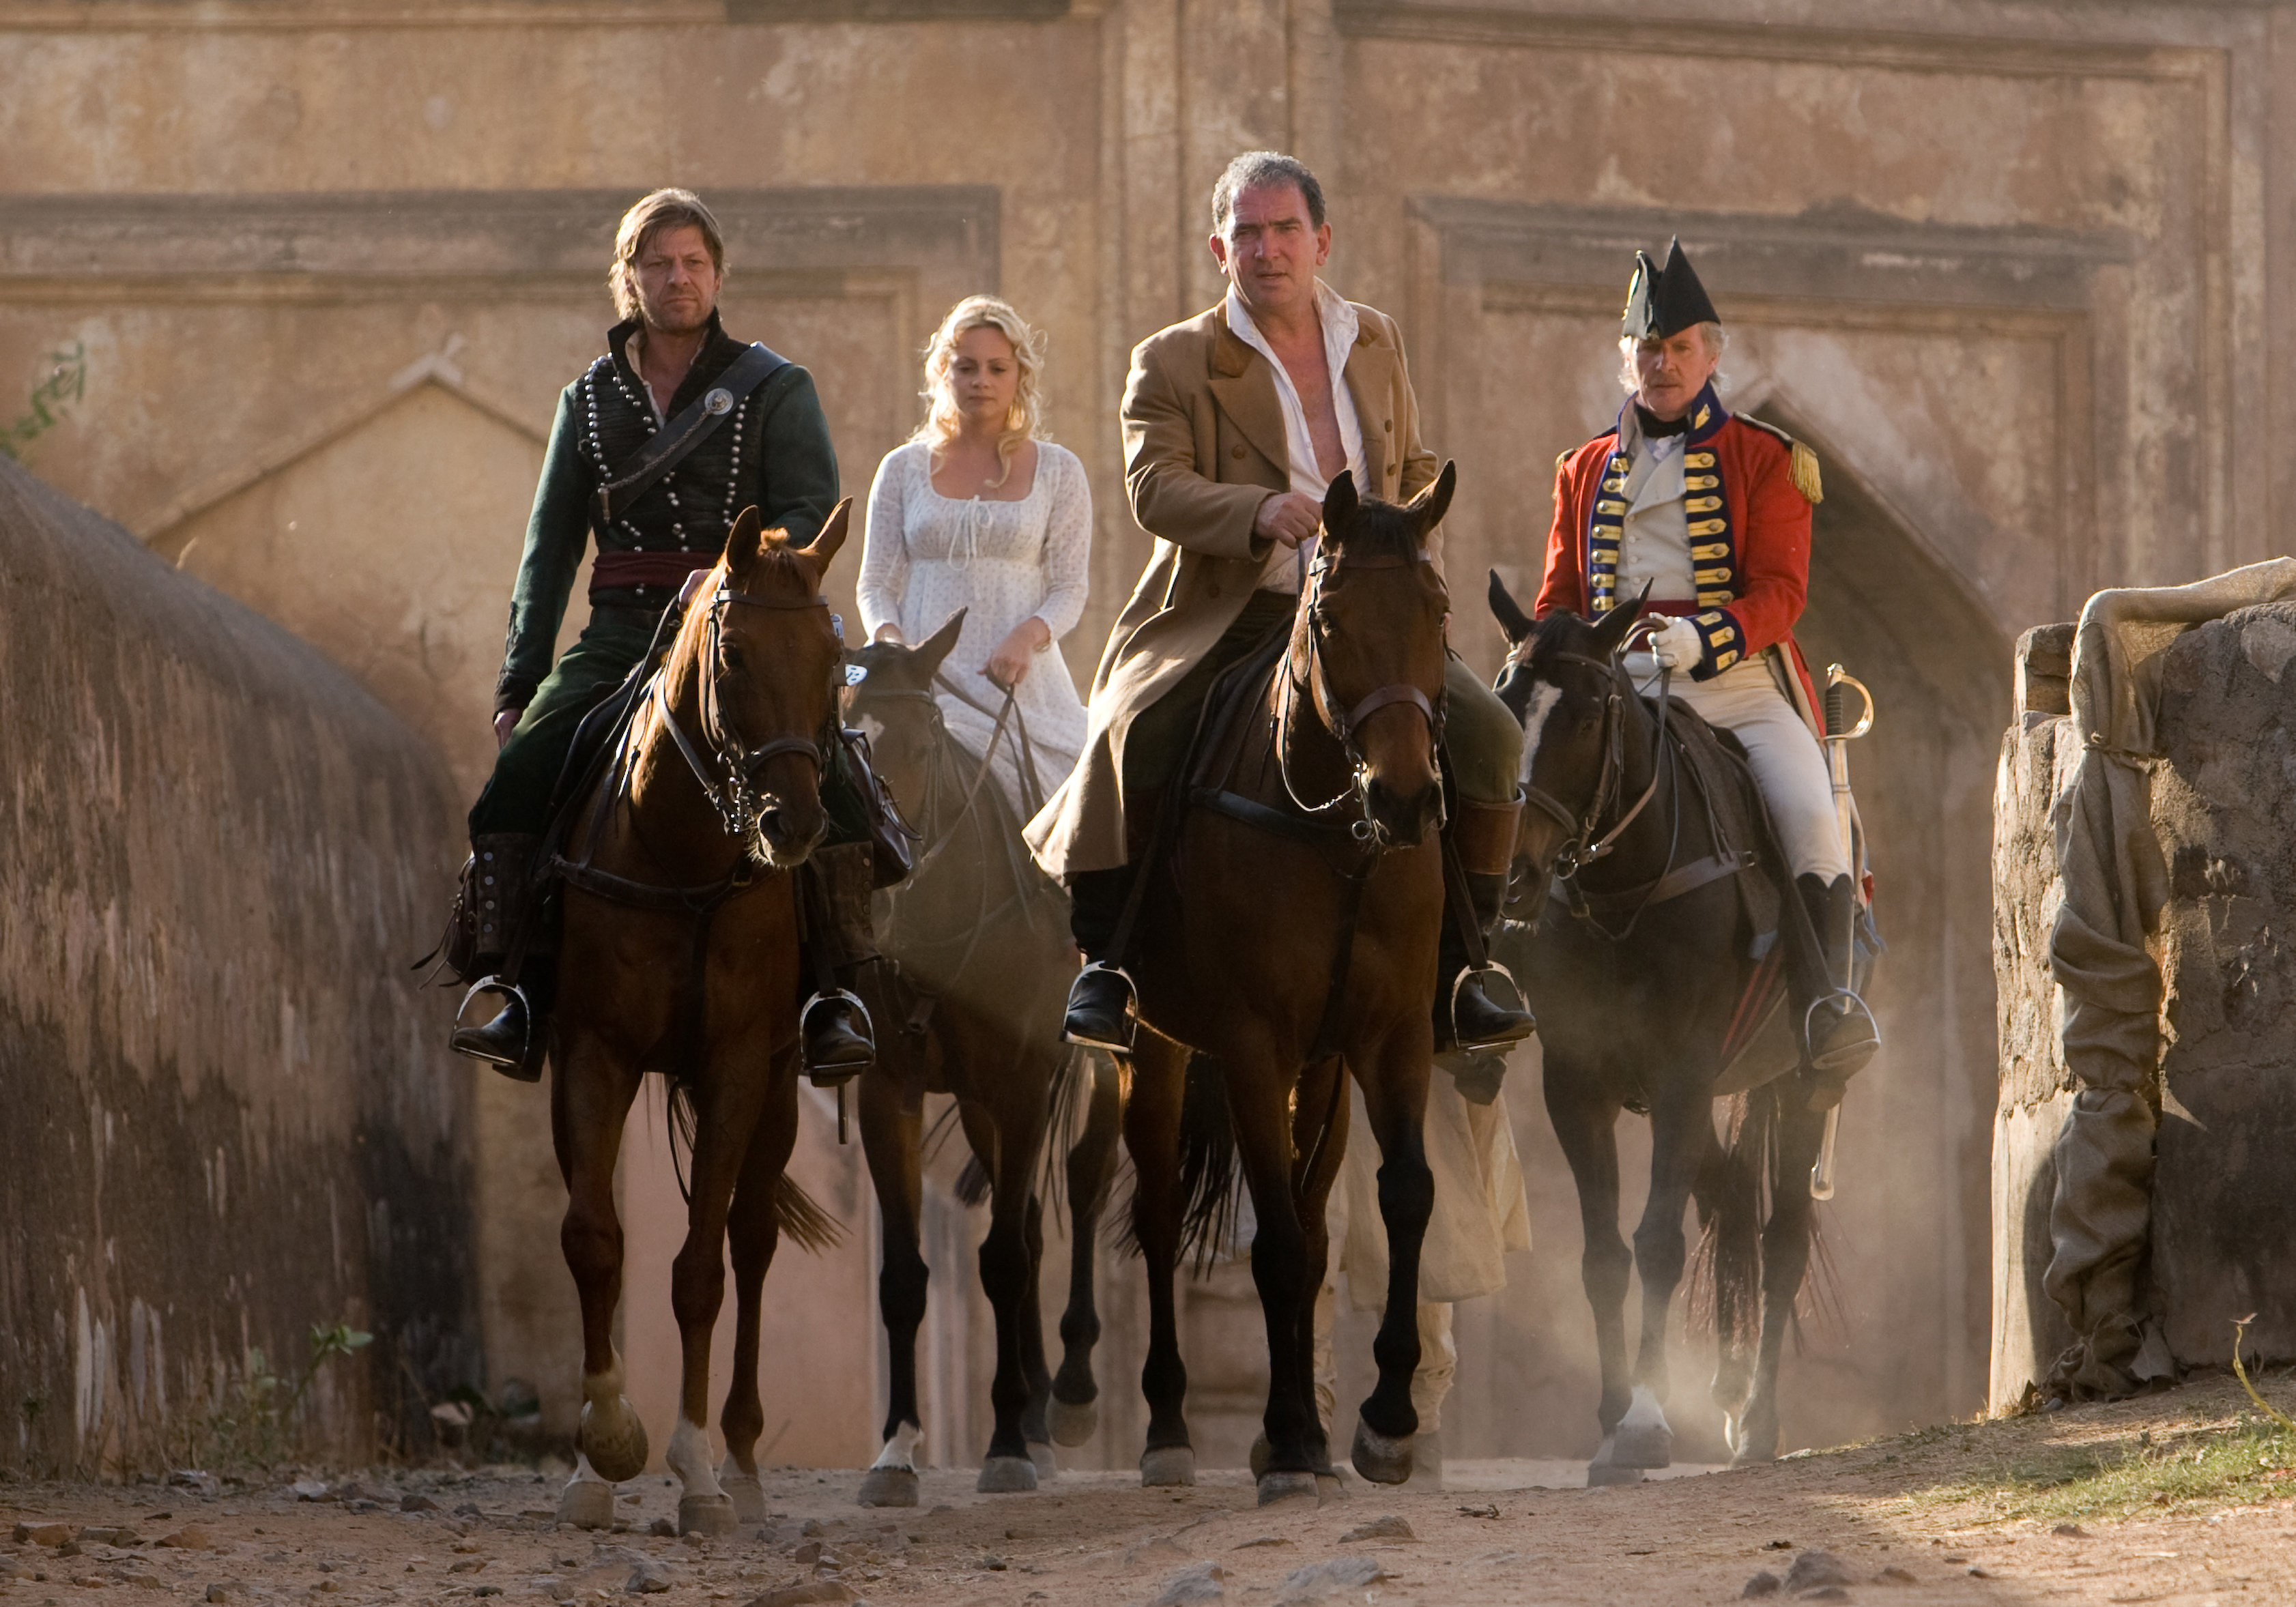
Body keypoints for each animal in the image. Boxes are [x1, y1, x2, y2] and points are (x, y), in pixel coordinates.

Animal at [548, 502, 863, 1533]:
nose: (793, 824)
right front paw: (600, 1447)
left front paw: (694, 1470)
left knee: (751, 1241)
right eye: (732, 656)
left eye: (831, 654)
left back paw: (745, 1461)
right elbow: (594, 1238)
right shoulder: (591, 1055)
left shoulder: (734, 1066)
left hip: (777, 1089)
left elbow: (699, 1270)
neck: (680, 855)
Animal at [844, 620, 1130, 1505]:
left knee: (1085, 1186)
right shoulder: (889, 1090)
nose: (873, 883)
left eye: (921, 743)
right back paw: (1038, 1410)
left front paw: (1005, 1446)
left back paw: (1075, 1397)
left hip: (1105, 1068)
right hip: (980, 1102)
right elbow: (905, 1274)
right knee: (1033, 1215)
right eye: (843, 740)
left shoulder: (1022, 1078)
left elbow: (1003, 1258)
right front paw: (896, 1450)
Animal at [1111, 463, 1451, 1505]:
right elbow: (1275, 1244)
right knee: (1161, 1215)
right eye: (1330, 620)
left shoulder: (1390, 1039)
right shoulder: (1252, 1046)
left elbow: (1400, 1198)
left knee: (1311, 1218)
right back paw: (1173, 1427)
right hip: (1153, 1052)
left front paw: (1382, 1421)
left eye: (1438, 608)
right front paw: (1294, 1434)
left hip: (1323, 1072)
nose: (1406, 798)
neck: (1337, 837)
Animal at [1487, 574, 1827, 1478]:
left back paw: (1760, 1421)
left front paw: (1644, 1416)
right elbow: (1603, 1254)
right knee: (1732, 1208)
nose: (1511, 873)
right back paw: (1731, 1391)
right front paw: (1612, 1418)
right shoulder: (1577, 1082)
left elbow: (1656, 1243)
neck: (1623, 890)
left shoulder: (1683, 1073)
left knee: (1780, 1238)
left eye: (1586, 715)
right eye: (1504, 701)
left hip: (1800, 1084)